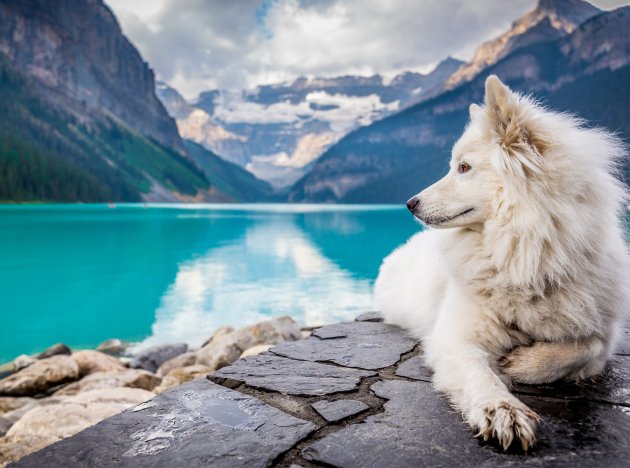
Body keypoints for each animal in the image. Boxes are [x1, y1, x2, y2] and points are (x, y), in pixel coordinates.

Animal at [376, 75, 630, 452]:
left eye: (463, 167)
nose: (410, 203)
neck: (524, 254)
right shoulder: (456, 338)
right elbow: (480, 376)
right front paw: (501, 411)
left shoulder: (603, 331)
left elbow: (585, 347)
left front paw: (522, 364)